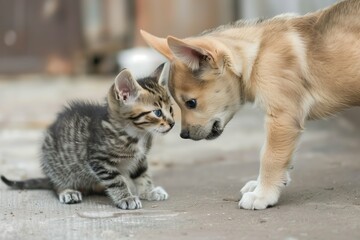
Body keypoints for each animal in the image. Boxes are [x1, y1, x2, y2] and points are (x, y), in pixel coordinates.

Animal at [0, 63, 174, 210]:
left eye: (171, 109)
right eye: (157, 112)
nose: (172, 123)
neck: (137, 134)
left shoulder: (139, 160)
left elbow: (143, 175)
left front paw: (150, 191)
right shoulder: (100, 160)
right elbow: (116, 181)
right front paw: (126, 198)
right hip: (55, 162)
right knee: (56, 182)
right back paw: (67, 191)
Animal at [141, 0, 360, 209]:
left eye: (191, 103)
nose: (183, 135)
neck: (256, 57)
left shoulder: (282, 118)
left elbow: (270, 157)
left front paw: (262, 195)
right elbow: (279, 156)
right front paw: (267, 184)